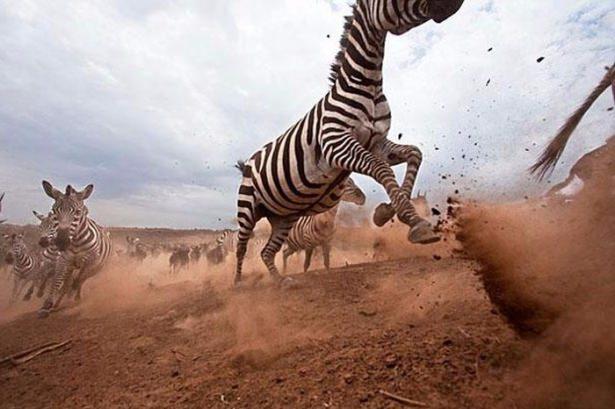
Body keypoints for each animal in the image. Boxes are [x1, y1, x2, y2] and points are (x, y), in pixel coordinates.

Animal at [37, 180, 112, 318]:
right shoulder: (63, 260)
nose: (61, 242)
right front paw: (47, 305)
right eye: (54, 210)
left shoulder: (91, 260)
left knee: (82, 279)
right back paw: (60, 301)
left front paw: (73, 293)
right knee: (67, 282)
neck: (76, 241)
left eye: (77, 212)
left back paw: (75, 295)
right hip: (71, 266)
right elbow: (57, 281)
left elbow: (80, 278)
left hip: (97, 268)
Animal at [233, 0, 464, 286]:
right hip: (247, 209)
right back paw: (237, 283)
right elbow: (381, 169)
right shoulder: (337, 145)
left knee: (267, 251)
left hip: (284, 216)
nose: (454, 4)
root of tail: (248, 162)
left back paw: (280, 281)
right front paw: (414, 223)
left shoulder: (378, 142)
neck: (368, 84)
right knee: (241, 246)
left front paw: (386, 212)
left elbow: (414, 154)